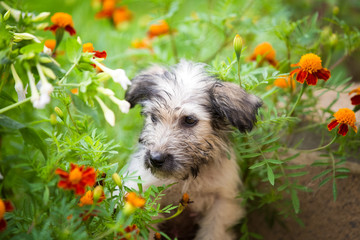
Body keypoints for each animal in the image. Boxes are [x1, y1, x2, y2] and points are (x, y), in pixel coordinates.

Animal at [124, 60, 262, 240]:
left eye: (189, 120)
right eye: (154, 117)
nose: (155, 159)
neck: (188, 177)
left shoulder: (222, 202)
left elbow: (213, 232)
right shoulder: (145, 192)